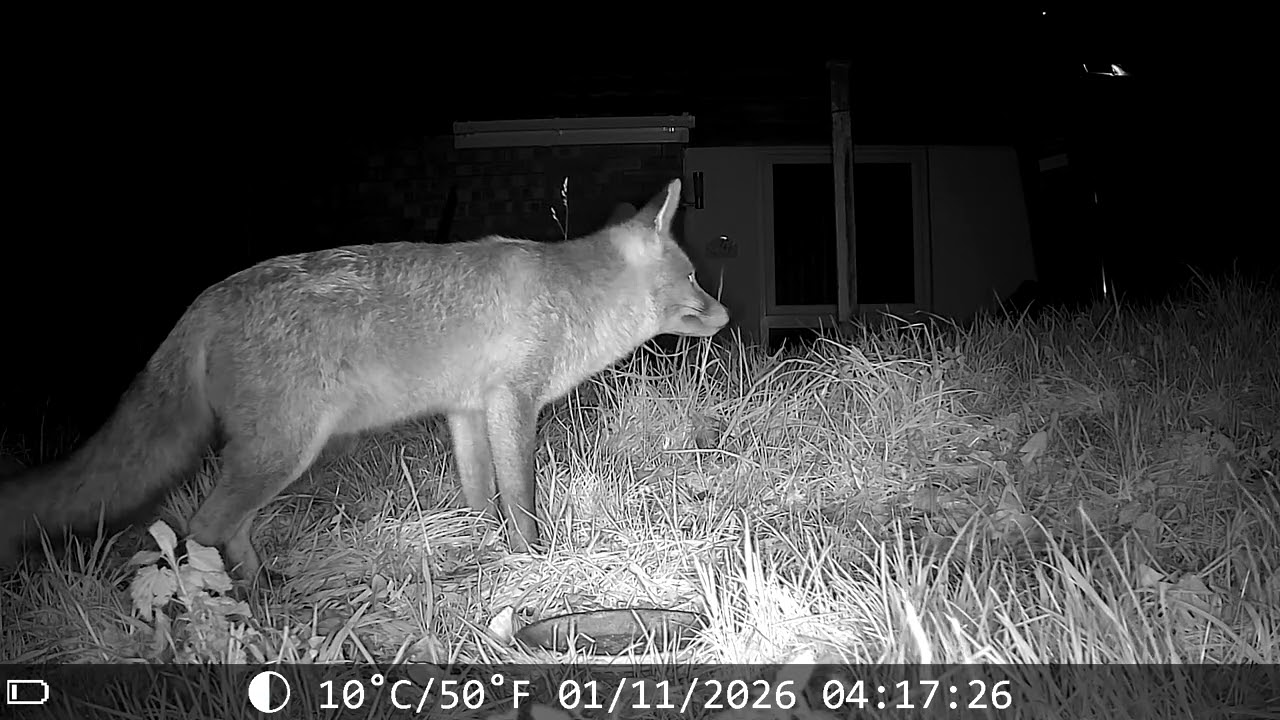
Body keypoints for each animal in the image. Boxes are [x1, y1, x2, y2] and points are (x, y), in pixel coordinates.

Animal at [0, 178, 729, 580]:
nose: (725, 315)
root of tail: (204, 301)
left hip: (270, 460)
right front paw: (532, 561)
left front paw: (483, 553)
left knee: (230, 530)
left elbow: (480, 498)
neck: (574, 297)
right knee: (204, 529)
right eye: (694, 277)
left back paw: (265, 588)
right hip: (282, 453)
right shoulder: (511, 402)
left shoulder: (467, 411)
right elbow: (521, 501)